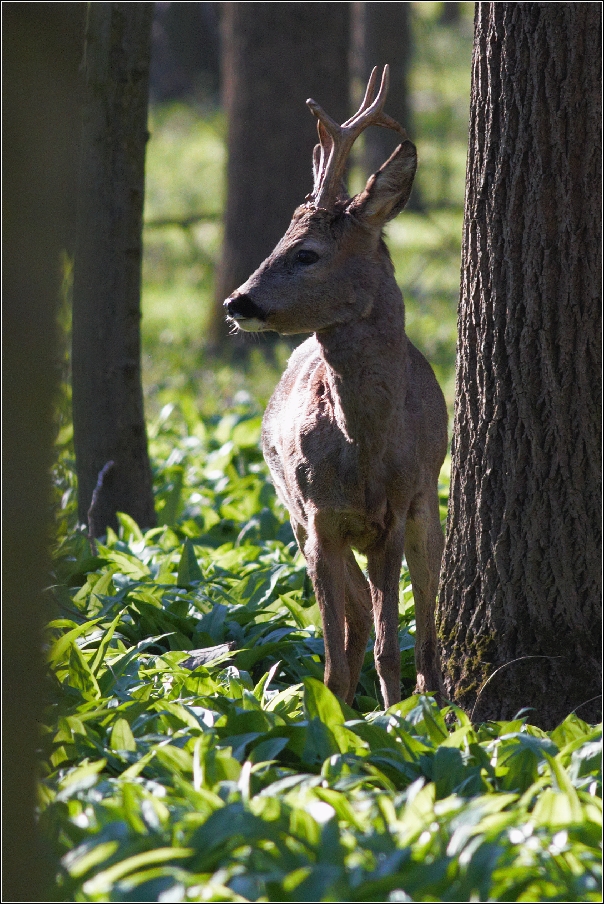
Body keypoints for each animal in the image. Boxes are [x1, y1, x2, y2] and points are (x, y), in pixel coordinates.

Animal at [223, 67, 448, 708]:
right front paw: (330, 721)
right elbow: (335, 654)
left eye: (307, 253)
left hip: (428, 506)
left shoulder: (394, 514)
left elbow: (389, 644)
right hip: (295, 517)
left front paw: (399, 720)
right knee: (353, 623)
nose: (237, 302)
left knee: (424, 618)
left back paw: (433, 695)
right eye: (278, 243)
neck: (364, 452)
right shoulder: (319, 519)